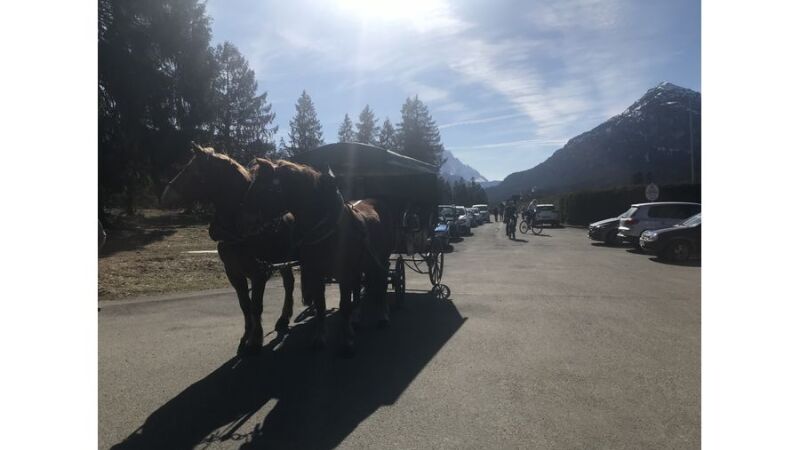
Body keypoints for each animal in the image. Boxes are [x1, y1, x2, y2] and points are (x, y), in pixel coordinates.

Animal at [161, 144, 298, 356]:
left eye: (190, 170)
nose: (165, 195)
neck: (240, 228)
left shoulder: (258, 272)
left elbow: (256, 306)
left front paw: (255, 340)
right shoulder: (233, 272)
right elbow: (245, 305)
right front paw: (246, 336)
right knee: (289, 283)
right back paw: (284, 318)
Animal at [242, 158, 396, 356]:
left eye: (264, 188)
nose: (243, 221)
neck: (326, 226)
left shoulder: (344, 274)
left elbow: (344, 306)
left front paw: (347, 341)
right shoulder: (316, 274)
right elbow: (321, 307)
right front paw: (319, 338)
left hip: (380, 260)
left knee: (381, 285)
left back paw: (383, 317)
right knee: (359, 288)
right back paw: (357, 318)